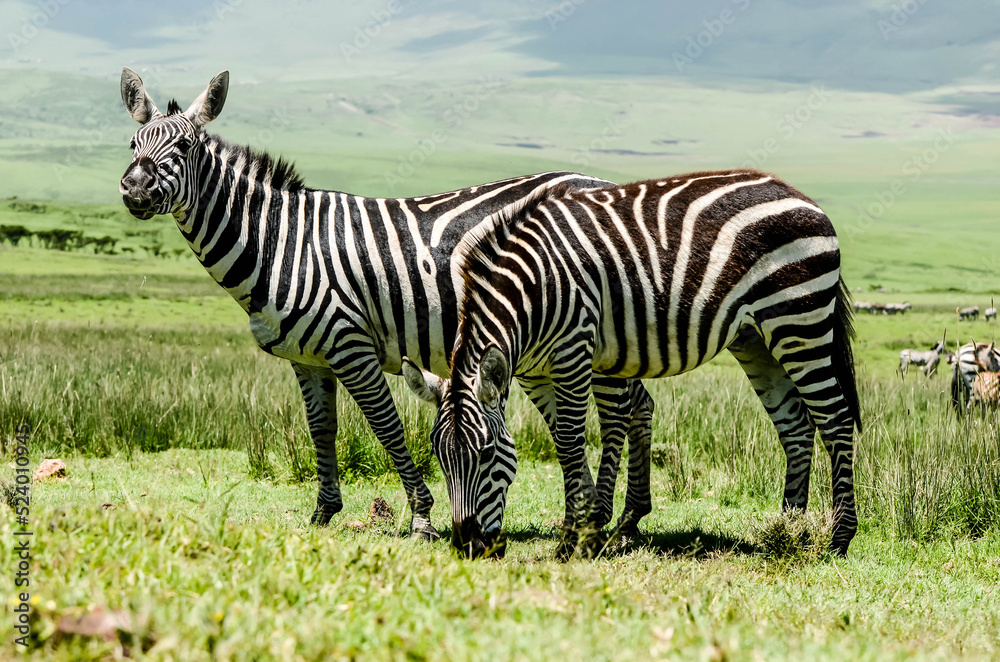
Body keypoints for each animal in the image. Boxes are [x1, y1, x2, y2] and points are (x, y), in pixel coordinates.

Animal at [117, 67, 653, 540]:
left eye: (184, 147)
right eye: (132, 145)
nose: (135, 188)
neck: (280, 243)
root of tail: (604, 183)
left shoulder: (351, 346)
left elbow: (387, 427)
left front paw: (421, 518)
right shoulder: (308, 358)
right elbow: (322, 428)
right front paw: (323, 512)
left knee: (620, 410)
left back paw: (609, 519)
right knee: (628, 407)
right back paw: (617, 518)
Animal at [405, 171, 862, 557]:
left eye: (486, 454)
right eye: (440, 457)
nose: (468, 547)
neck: (532, 290)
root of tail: (800, 194)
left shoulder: (574, 349)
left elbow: (569, 442)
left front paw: (573, 541)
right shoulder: (538, 366)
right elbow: (568, 439)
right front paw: (588, 530)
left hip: (799, 320)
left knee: (835, 419)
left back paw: (838, 539)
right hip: (755, 340)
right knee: (795, 424)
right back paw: (789, 529)